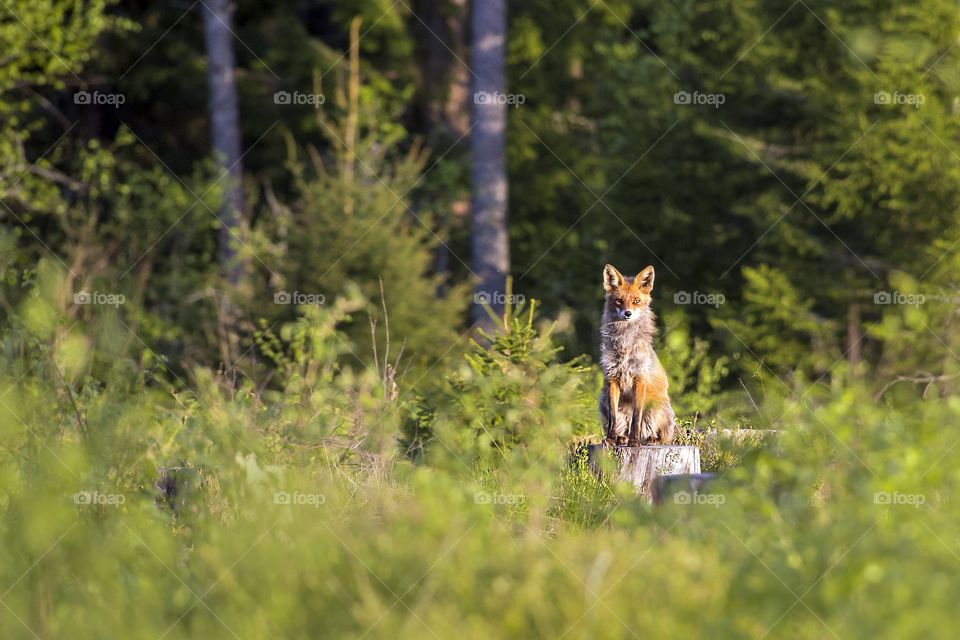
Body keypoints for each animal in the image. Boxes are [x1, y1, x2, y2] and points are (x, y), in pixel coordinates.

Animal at [599, 264, 676, 446]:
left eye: (636, 301)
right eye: (619, 301)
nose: (628, 313)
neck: (625, 345)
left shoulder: (640, 378)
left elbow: (636, 417)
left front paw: (634, 442)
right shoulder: (612, 378)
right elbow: (613, 418)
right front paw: (610, 439)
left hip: (658, 406)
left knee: (661, 436)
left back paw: (650, 439)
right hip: (602, 399)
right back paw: (621, 438)